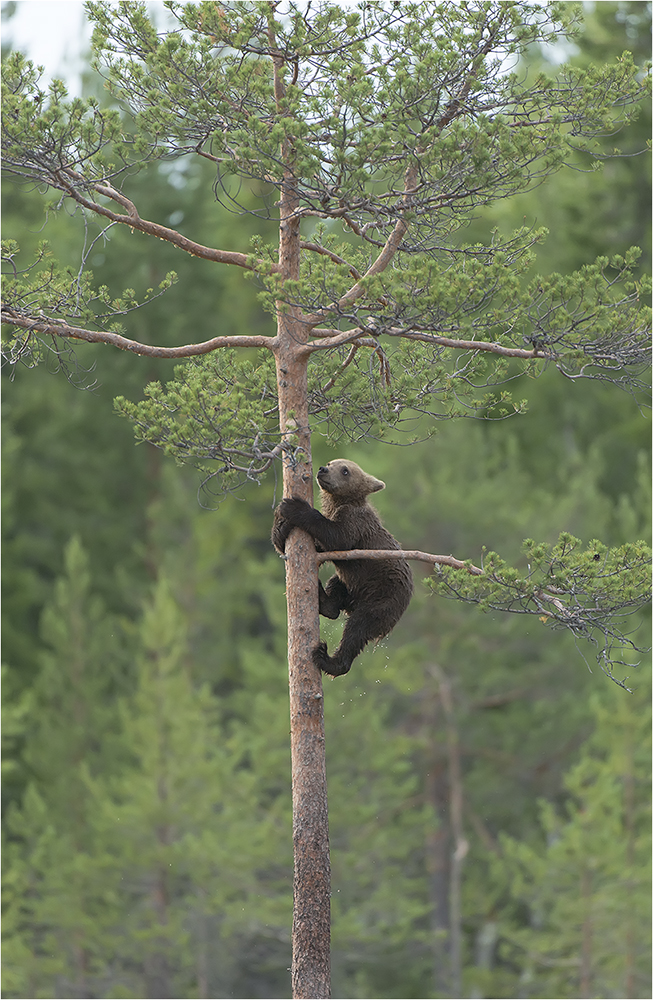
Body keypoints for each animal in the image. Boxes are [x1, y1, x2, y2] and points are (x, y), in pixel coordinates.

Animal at [272, 460, 412, 680]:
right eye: (331, 462)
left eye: (345, 470)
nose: (323, 469)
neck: (338, 503)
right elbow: (317, 546)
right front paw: (282, 526)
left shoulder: (355, 524)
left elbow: (336, 537)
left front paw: (294, 506)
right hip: (353, 585)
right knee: (336, 588)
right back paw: (324, 600)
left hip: (384, 597)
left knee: (358, 628)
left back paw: (327, 659)